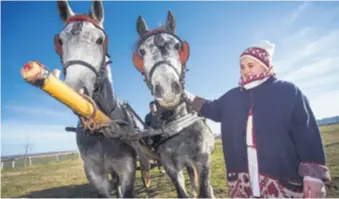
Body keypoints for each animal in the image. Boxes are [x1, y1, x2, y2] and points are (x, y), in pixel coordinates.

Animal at [55, 0, 136, 197]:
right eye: (60, 41)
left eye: (100, 40)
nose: (76, 90)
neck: (103, 125)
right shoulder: (95, 174)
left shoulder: (127, 169)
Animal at [133, 11, 215, 199]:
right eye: (141, 51)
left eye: (178, 46)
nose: (167, 89)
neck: (178, 124)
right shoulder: (170, 167)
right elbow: (181, 192)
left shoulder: (204, 161)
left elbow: (205, 191)